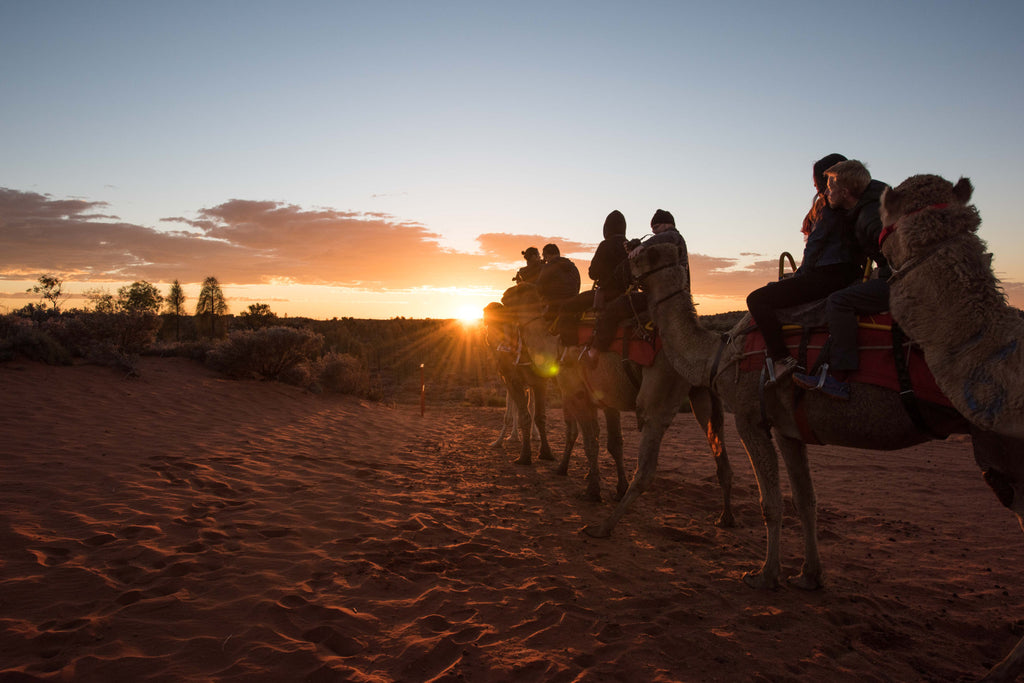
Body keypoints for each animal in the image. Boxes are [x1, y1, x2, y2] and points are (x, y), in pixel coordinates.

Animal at [499, 280, 733, 532]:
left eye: (516, 292)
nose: (502, 299)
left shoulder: (577, 392)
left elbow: (590, 441)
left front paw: (592, 491)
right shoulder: (606, 397)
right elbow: (614, 442)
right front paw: (617, 487)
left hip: (661, 385)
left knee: (648, 462)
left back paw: (605, 526)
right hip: (702, 392)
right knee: (718, 446)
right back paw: (725, 517)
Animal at [634, 240, 1024, 683]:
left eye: (649, 250)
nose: (627, 255)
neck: (718, 354)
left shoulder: (750, 416)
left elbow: (771, 503)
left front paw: (765, 576)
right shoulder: (787, 429)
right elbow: (806, 501)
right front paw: (809, 576)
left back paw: (999, 670)